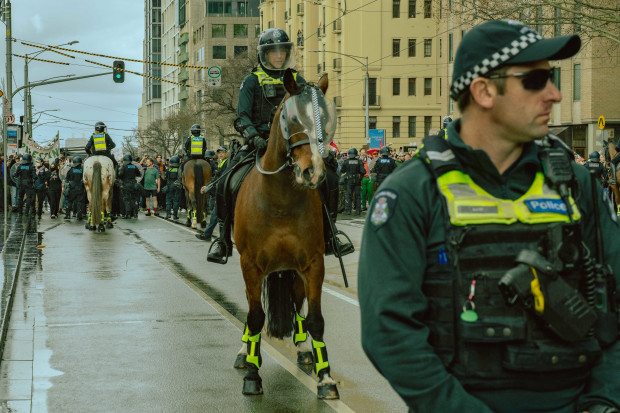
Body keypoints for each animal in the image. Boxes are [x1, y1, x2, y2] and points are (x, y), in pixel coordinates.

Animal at [232, 69, 340, 399]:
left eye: (327, 118)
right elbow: (255, 317)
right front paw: (252, 374)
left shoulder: (313, 264)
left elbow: (316, 319)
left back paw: (304, 349)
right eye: (292, 119)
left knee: (296, 303)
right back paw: (243, 352)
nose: (312, 172)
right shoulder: (250, 266)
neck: (280, 200)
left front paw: (325, 378)